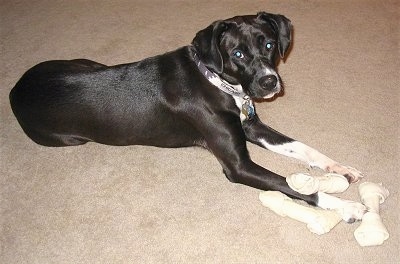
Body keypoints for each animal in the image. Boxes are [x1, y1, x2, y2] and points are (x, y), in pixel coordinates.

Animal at [9, 12, 366, 223]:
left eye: (268, 44)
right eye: (237, 53)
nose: (269, 82)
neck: (216, 79)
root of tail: (15, 89)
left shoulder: (251, 126)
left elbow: (303, 147)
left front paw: (340, 168)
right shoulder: (238, 167)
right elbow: (295, 188)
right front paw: (346, 207)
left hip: (86, 62)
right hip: (70, 137)